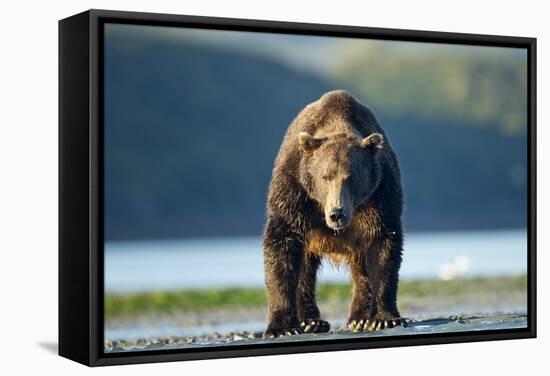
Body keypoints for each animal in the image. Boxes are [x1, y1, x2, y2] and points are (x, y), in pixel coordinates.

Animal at [264, 89, 406, 338]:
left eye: (351, 177)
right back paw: (311, 321)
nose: (336, 214)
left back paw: (359, 318)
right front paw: (282, 327)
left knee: (361, 269)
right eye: (325, 176)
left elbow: (384, 249)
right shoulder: (295, 190)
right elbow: (282, 246)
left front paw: (383, 319)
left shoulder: (380, 195)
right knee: (305, 269)